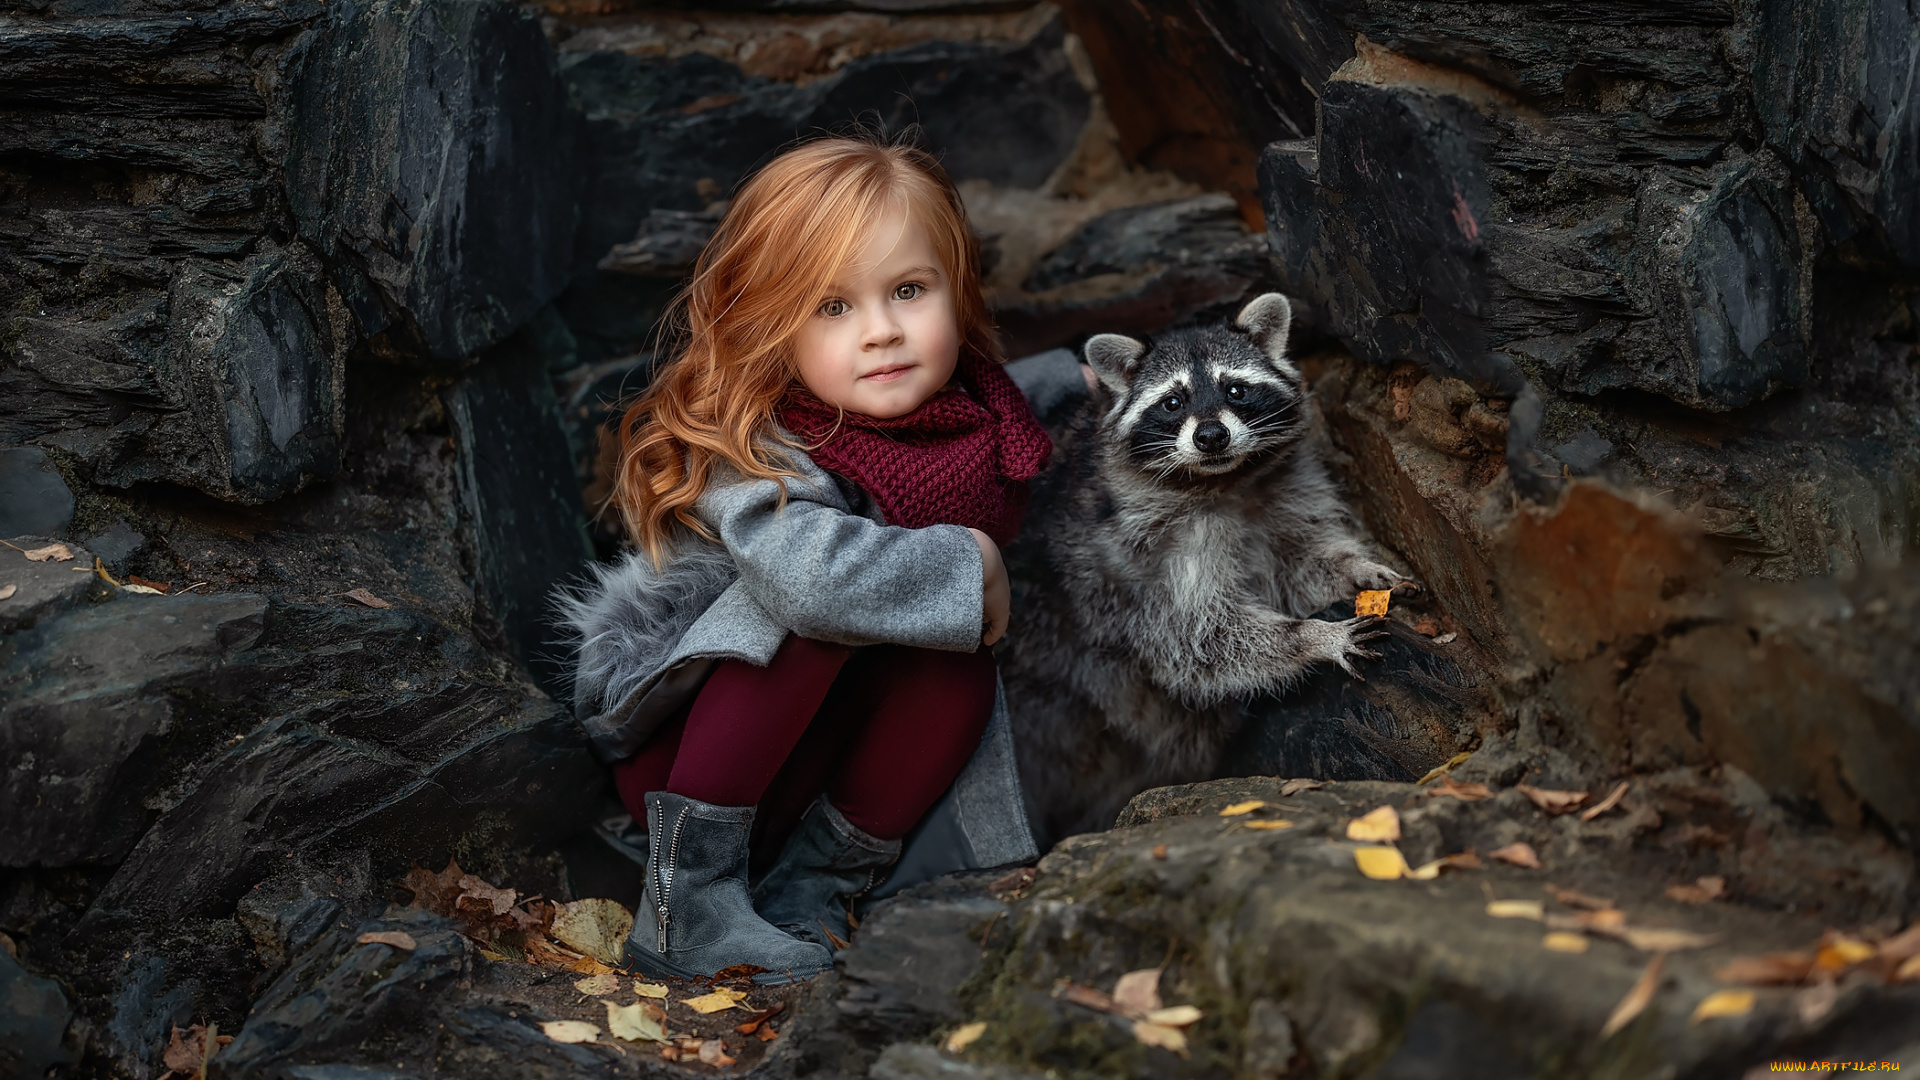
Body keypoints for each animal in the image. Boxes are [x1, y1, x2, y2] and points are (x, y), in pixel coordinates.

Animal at [1002, 293, 1401, 844]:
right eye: (1173, 401)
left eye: (1235, 388)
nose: (1212, 435)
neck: (1224, 482)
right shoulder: (1150, 560)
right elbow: (1197, 638)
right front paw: (1313, 637)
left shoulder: (1283, 496)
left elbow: (1300, 562)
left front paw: (1354, 566)